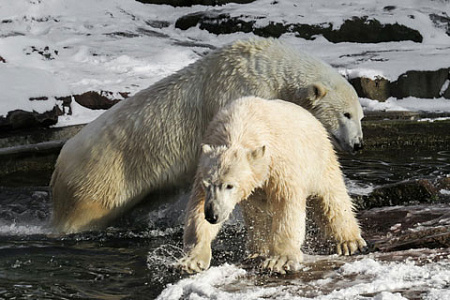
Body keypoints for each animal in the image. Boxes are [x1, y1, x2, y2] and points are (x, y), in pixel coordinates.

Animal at [51, 38, 364, 234]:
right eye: (346, 114)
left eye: (360, 116)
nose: (358, 144)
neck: (267, 69)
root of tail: (59, 165)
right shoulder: (239, 91)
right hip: (102, 177)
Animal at [177, 96, 366, 274]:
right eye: (207, 184)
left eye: (230, 186)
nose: (212, 215)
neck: (239, 126)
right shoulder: (204, 168)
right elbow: (197, 208)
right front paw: (191, 261)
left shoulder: (279, 163)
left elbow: (286, 206)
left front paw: (279, 261)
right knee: (257, 215)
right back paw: (256, 251)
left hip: (319, 159)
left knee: (332, 197)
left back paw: (349, 242)